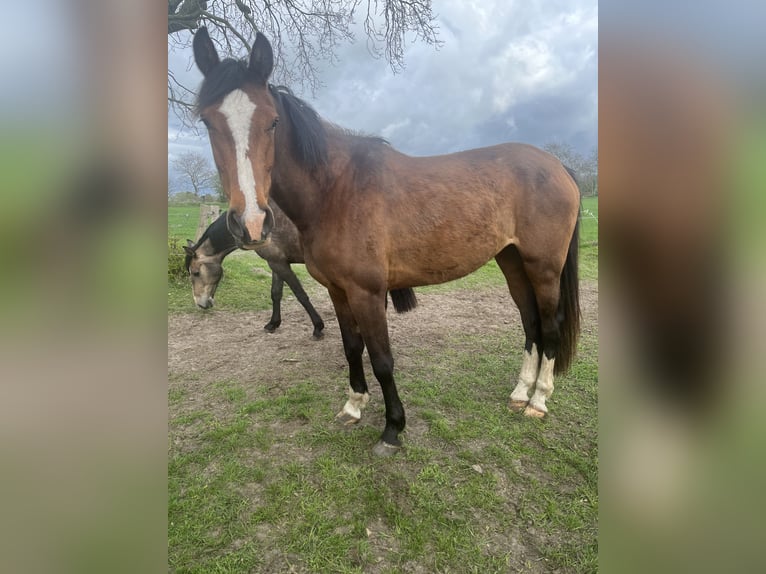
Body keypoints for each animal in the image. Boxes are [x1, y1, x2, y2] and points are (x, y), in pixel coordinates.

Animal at [183, 201, 326, 339]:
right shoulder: (276, 262)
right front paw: (273, 323)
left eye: (196, 273)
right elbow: (276, 293)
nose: (200, 304)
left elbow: (300, 294)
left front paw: (318, 327)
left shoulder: (278, 264)